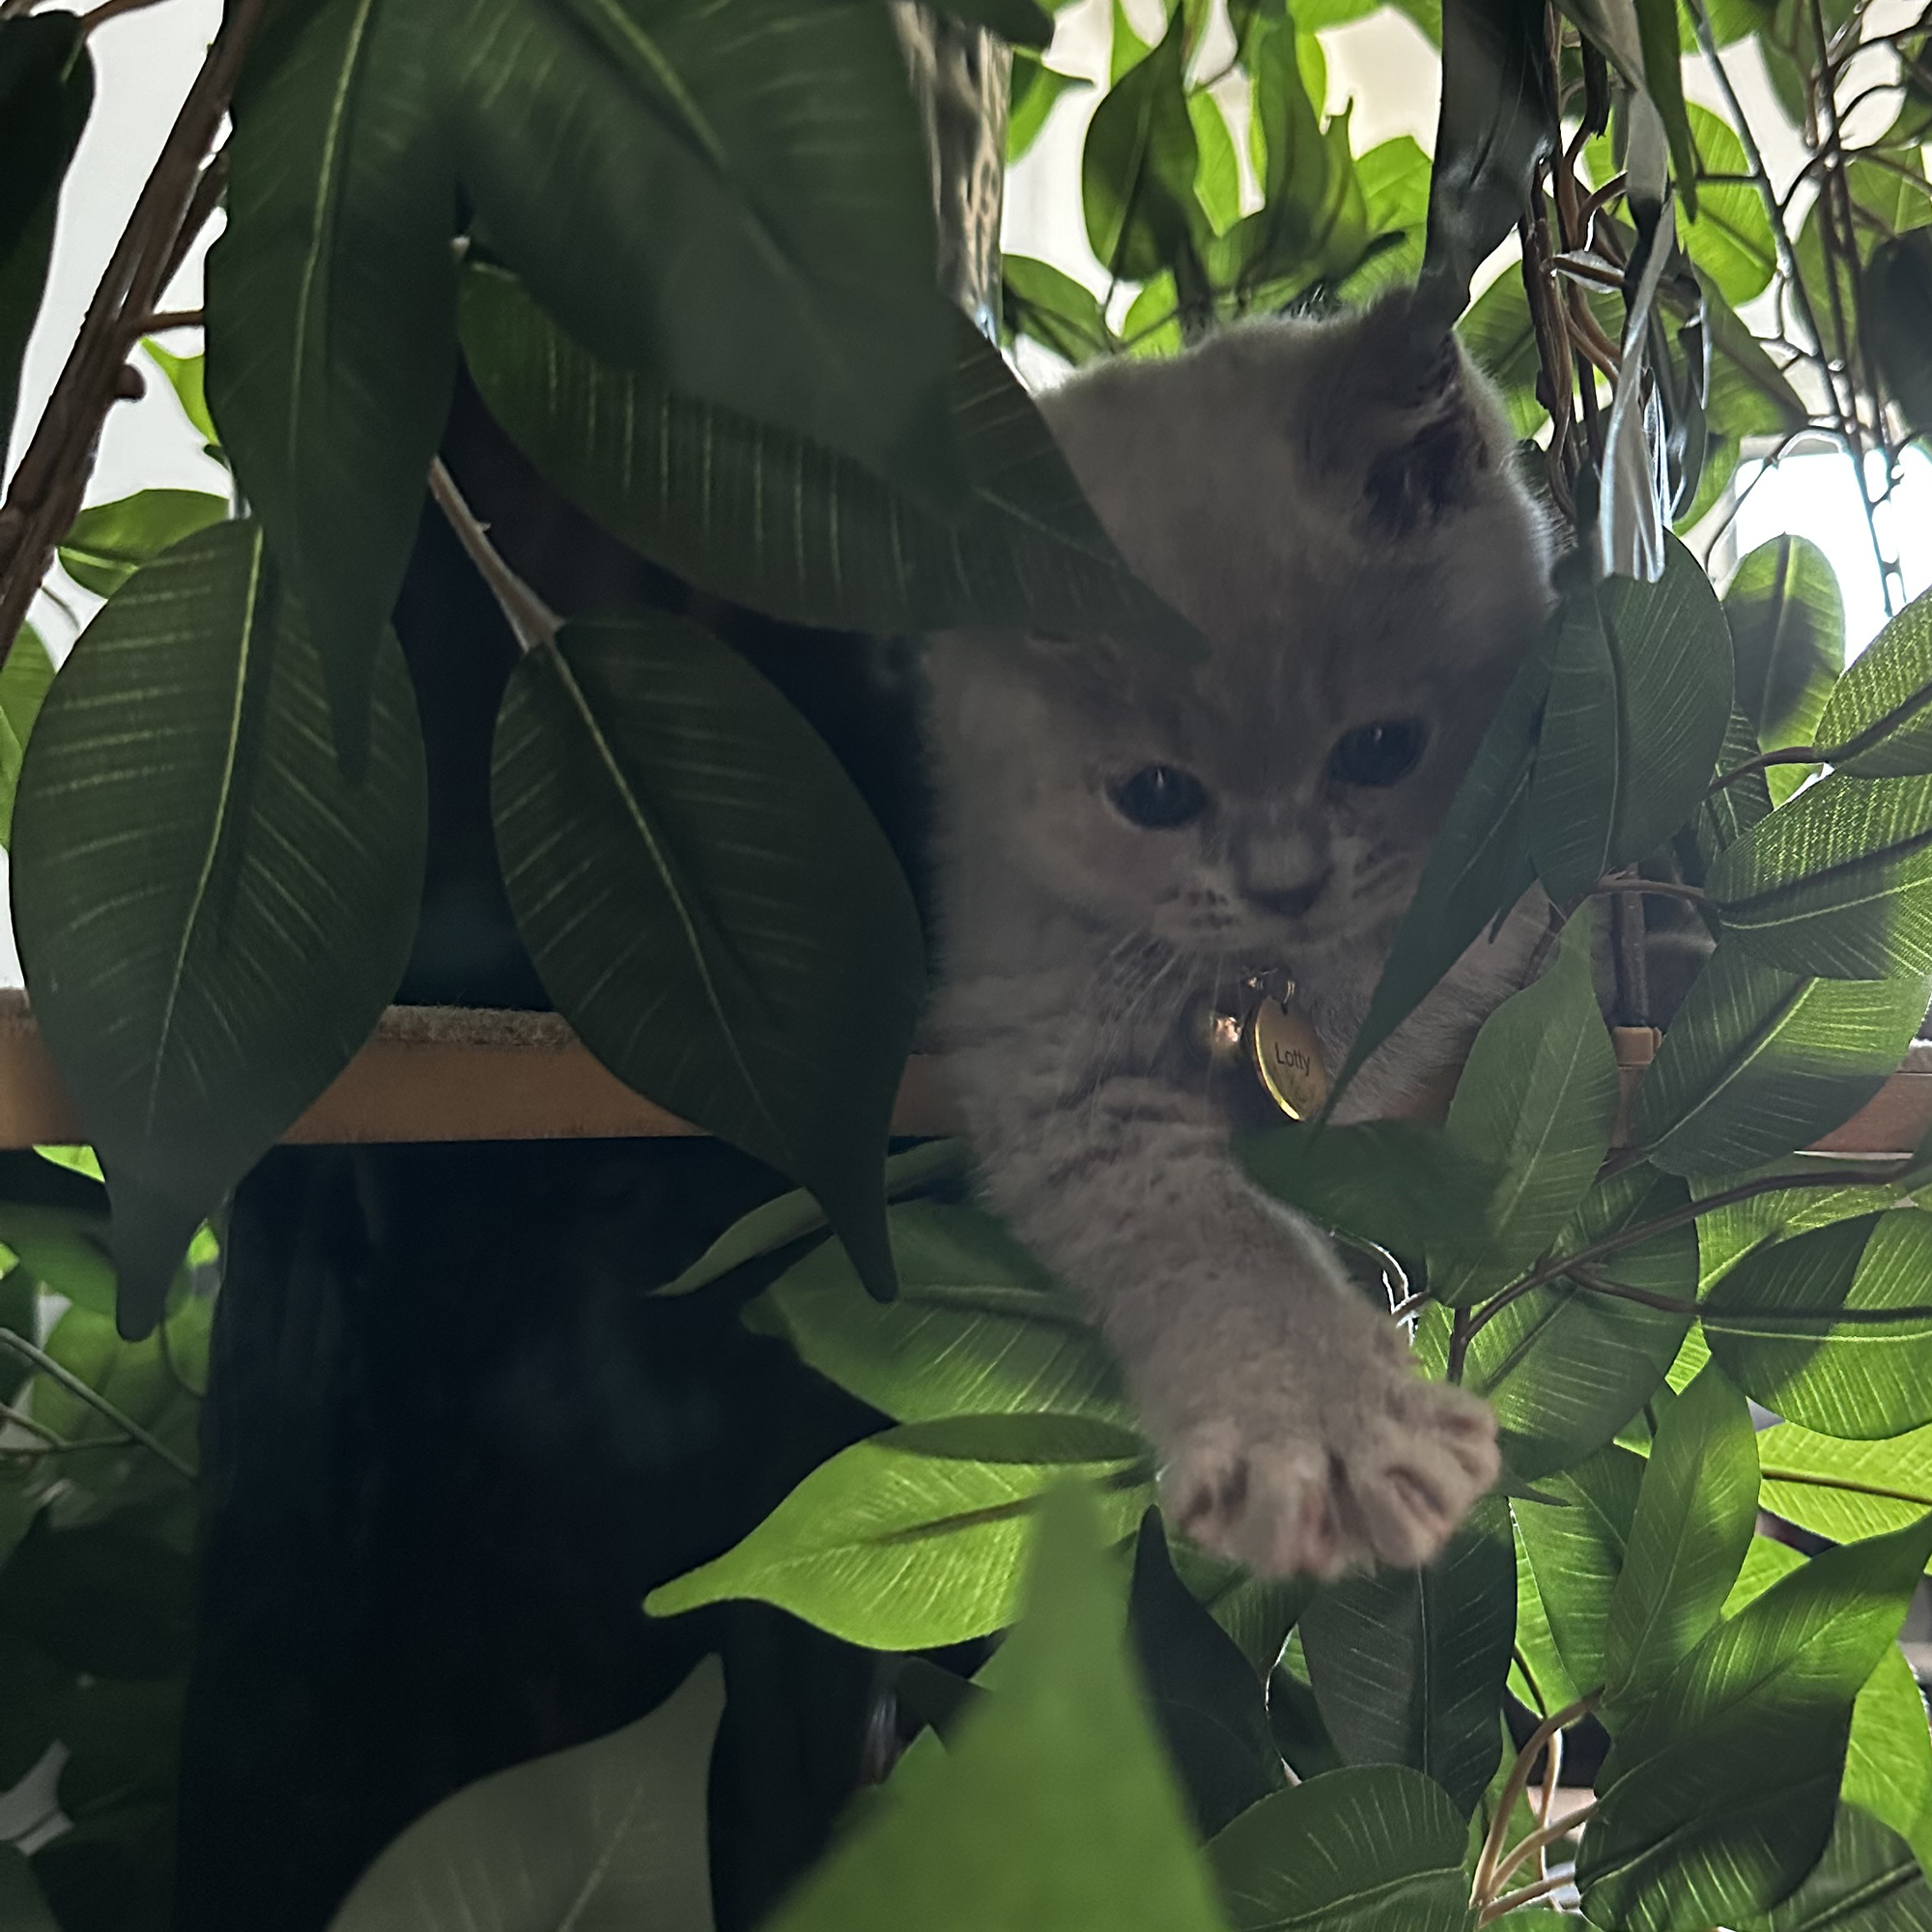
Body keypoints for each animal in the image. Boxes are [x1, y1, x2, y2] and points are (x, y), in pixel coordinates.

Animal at [920, 298, 1553, 1569]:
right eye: (1155, 793)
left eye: (1377, 749)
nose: (1285, 881)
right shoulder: (1046, 1044)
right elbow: (1215, 1232)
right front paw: (1326, 1428)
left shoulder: (1471, 919)